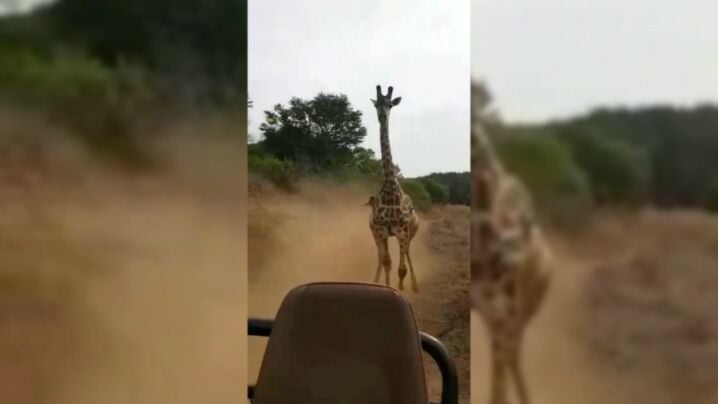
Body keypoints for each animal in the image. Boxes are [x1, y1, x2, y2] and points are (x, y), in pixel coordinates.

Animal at [367, 85, 420, 293]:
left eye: (390, 104)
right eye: (377, 104)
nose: (382, 116)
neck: (390, 188)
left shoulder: (401, 231)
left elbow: (401, 269)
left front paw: (402, 289)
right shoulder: (382, 230)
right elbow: (387, 262)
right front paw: (386, 287)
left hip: (408, 234)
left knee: (407, 255)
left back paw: (414, 285)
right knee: (385, 257)